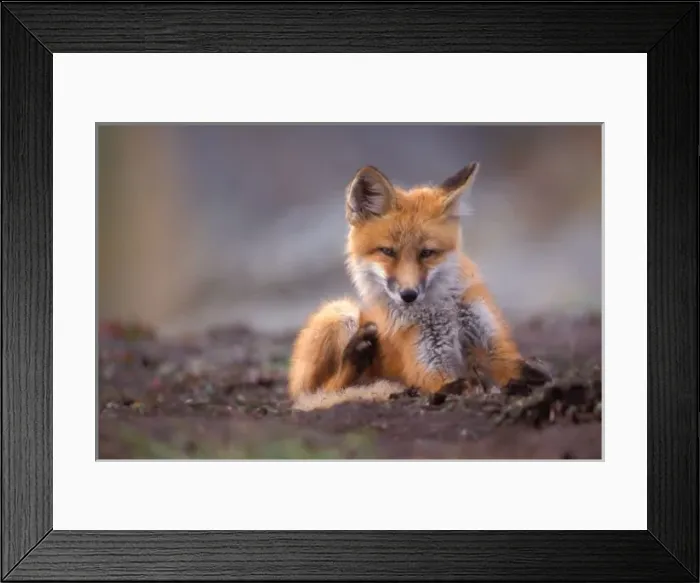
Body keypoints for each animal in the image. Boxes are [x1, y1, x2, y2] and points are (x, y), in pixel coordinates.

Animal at [288, 162, 551, 411]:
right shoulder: (429, 367)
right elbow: (455, 384)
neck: (441, 308)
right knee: (322, 391)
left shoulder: (494, 345)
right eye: (387, 252)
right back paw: (356, 355)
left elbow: (522, 369)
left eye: (427, 253)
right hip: (339, 312)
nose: (408, 295)